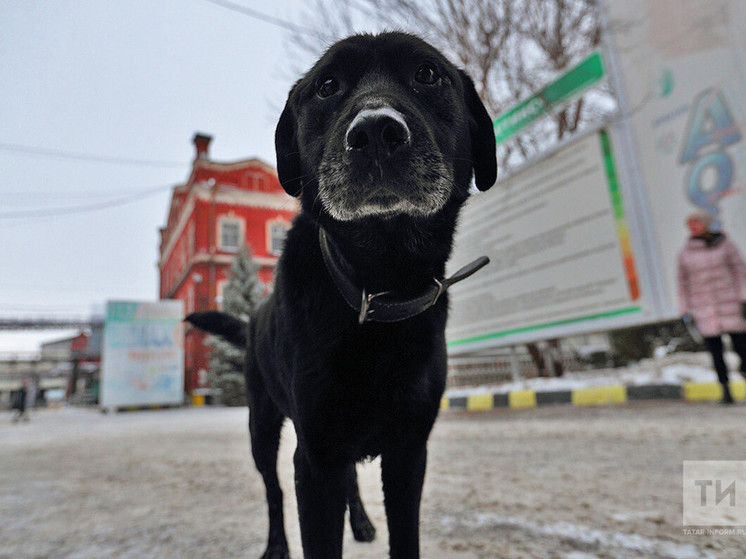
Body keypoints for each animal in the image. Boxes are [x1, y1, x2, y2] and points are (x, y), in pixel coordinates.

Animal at [187, 31, 494, 559]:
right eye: (327, 86)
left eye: (428, 73)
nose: (374, 132)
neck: (378, 284)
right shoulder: (315, 457)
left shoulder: (408, 452)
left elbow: (405, 537)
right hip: (262, 427)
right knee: (272, 491)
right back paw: (276, 544)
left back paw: (363, 522)